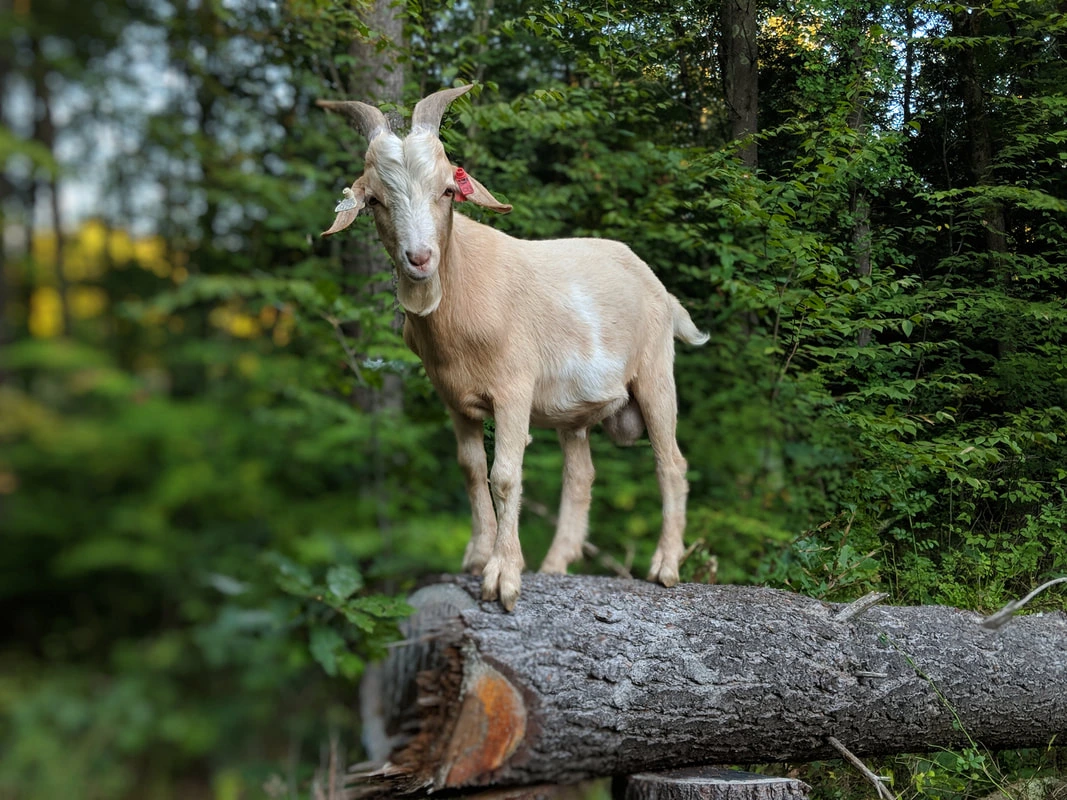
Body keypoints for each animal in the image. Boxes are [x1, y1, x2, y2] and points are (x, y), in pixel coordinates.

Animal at [319, 85, 708, 611]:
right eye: (376, 200)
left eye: (448, 190)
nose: (419, 259)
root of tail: (661, 291)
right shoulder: (455, 401)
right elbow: (470, 470)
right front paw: (478, 557)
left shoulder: (513, 390)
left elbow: (504, 474)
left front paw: (503, 578)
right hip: (574, 413)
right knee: (581, 475)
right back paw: (557, 563)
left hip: (655, 374)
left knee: (670, 463)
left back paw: (665, 567)